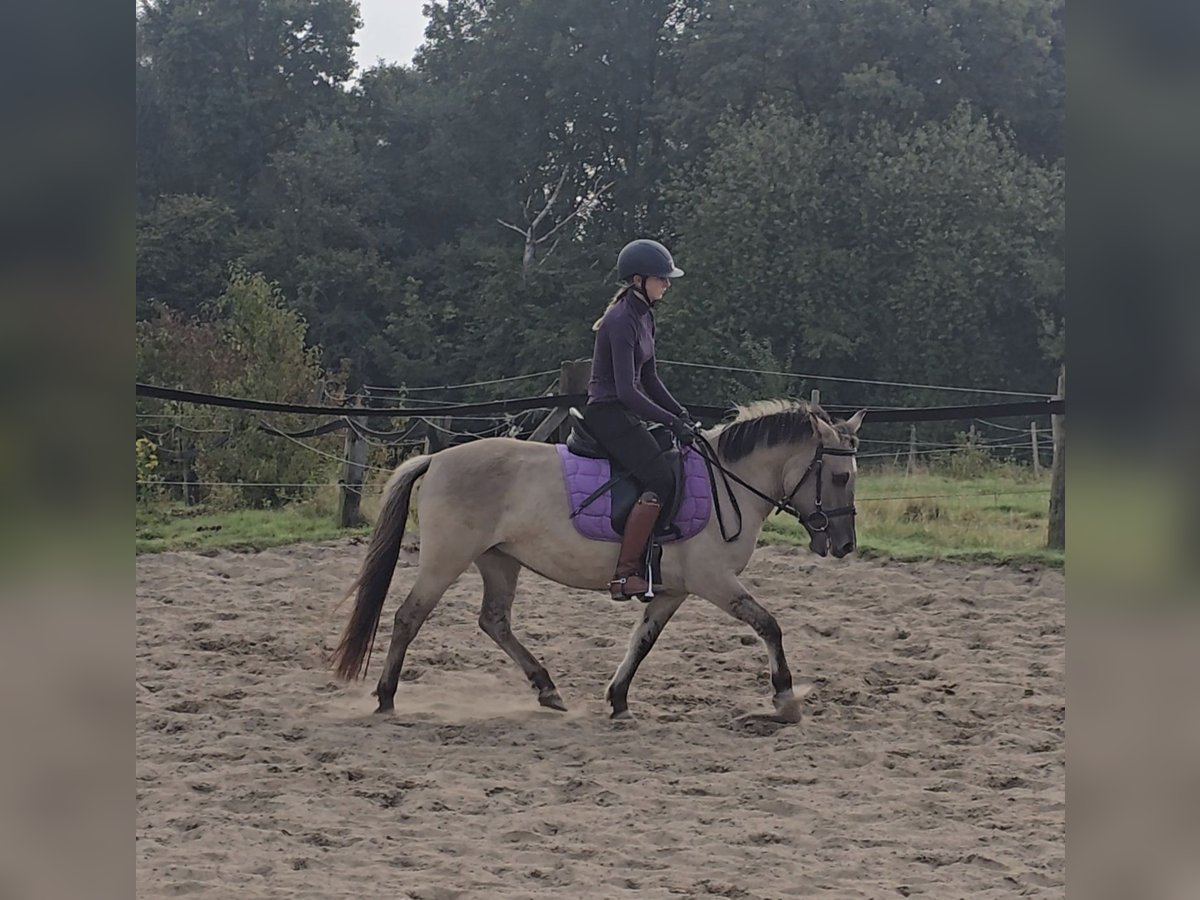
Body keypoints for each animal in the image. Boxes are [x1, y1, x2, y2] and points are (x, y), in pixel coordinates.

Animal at [331, 400, 865, 721]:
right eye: (840, 477)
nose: (843, 545)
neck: (726, 482)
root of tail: (438, 459)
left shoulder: (672, 590)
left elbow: (643, 640)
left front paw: (619, 699)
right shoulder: (713, 581)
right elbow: (768, 624)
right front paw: (785, 698)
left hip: (499, 561)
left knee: (495, 621)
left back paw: (547, 689)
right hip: (447, 560)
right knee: (409, 616)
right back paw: (386, 696)